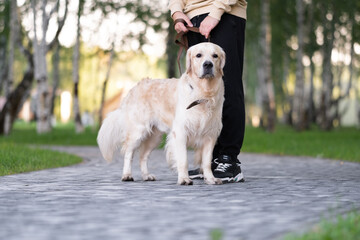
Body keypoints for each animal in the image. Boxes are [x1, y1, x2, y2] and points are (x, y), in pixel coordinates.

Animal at [97, 42, 224, 186]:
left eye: (215, 55)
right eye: (198, 55)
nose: (208, 64)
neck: (203, 94)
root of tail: (134, 88)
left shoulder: (210, 135)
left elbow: (207, 161)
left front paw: (211, 179)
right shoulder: (180, 132)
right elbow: (183, 160)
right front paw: (184, 179)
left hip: (154, 136)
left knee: (143, 156)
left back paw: (146, 175)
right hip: (138, 131)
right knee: (128, 153)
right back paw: (127, 175)